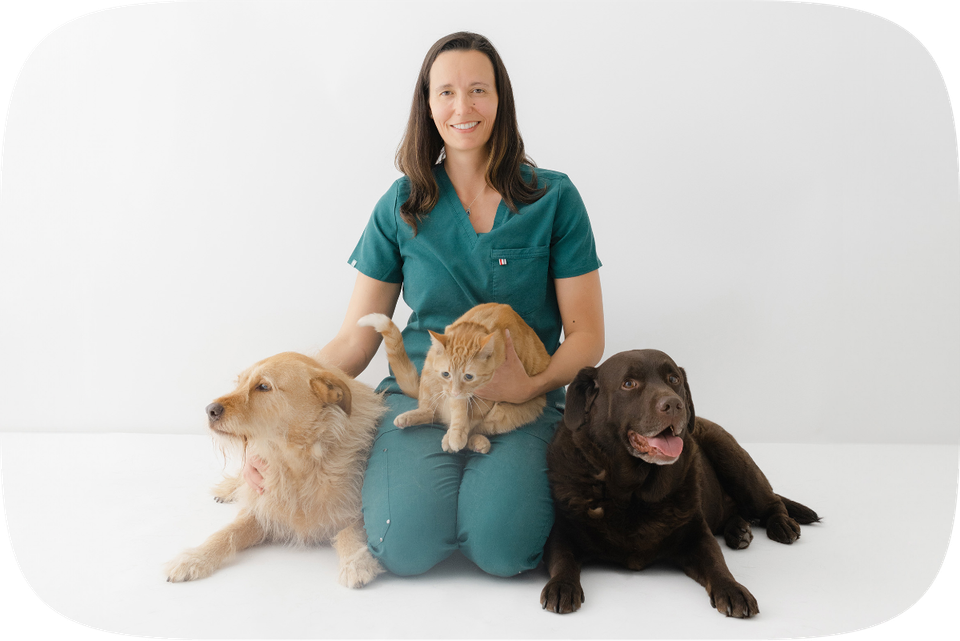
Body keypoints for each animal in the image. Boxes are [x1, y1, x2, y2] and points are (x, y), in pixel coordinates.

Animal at [165, 352, 386, 588]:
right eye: (239, 383)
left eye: (263, 386)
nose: (210, 410)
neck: (296, 461)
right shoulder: (261, 509)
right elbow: (226, 532)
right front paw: (193, 558)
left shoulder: (355, 509)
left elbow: (350, 531)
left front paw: (355, 562)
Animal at [358, 302, 552, 452]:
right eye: (446, 374)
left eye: (469, 376)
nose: (455, 391)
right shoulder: (453, 392)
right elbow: (459, 410)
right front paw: (454, 435)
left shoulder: (492, 392)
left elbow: (470, 417)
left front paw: (453, 437)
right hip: (429, 372)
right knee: (430, 412)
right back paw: (409, 418)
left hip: (505, 412)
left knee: (478, 426)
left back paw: (477, 442)